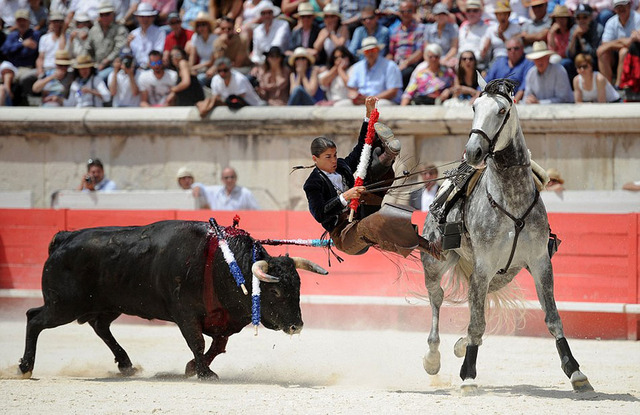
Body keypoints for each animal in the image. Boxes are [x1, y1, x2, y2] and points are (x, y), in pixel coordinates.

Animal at [17, 221, 328, 380]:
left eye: (298, 288)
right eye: (275, 292)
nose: (297, 326)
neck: (221, 264)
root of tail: (65, 237)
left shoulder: (222, 319)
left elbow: (217, 346)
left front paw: (193, 367)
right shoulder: (185, 314)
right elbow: (198, 342)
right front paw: (204, 373)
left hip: (106, 304)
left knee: (99, 326)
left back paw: (126, 365)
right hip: (63, 306)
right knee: (34, 318)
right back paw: (24, 367)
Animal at [420, 77, 596, 394]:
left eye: (502, 111)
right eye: (474, 107)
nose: (473, 152)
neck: (511, 199)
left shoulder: (540, 263)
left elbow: (553, 318)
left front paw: (576, 372)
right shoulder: (483, 266)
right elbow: (477, 322)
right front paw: (468, 376)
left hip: (504, 274)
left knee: (477, 301)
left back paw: (461, 345)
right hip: (435, 262)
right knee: (437, 299)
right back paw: (433, 358)